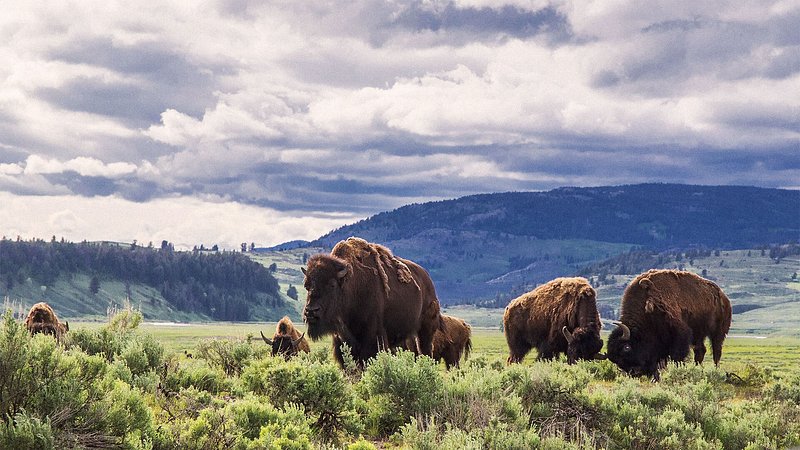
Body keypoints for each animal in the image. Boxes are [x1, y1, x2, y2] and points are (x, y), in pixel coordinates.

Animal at [304, 237, 446, 368]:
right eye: (307, 285)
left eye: (332, 285)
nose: (311, 311)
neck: (351, 285)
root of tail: (428, 280)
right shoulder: (342, 339)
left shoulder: (373, 336)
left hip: (425, 329)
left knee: (425, 349)